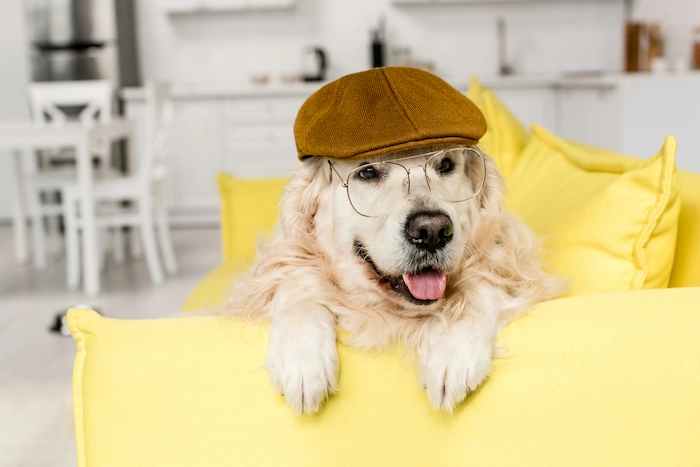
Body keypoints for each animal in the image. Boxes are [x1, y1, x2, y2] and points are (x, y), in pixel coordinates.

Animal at [228, 145, 556, 414]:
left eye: (445, 164)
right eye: (368, 171)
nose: (432, 231)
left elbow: (484, 280)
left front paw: (454, 351)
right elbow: (299, 279)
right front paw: (301, 357)